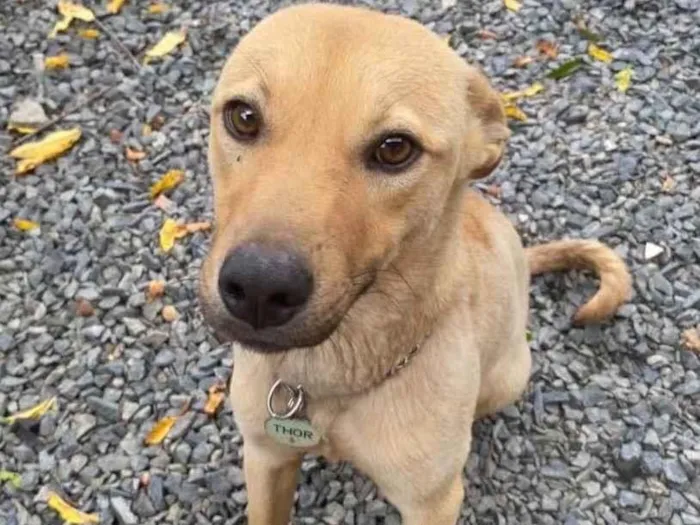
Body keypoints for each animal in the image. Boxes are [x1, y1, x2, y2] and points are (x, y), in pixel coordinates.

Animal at [198, 5, 636, 524]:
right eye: (243, 117)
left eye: (395, 148)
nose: (259, 288)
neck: (332, 380)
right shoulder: (265, 458)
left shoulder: (432, 502)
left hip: (509, 376)